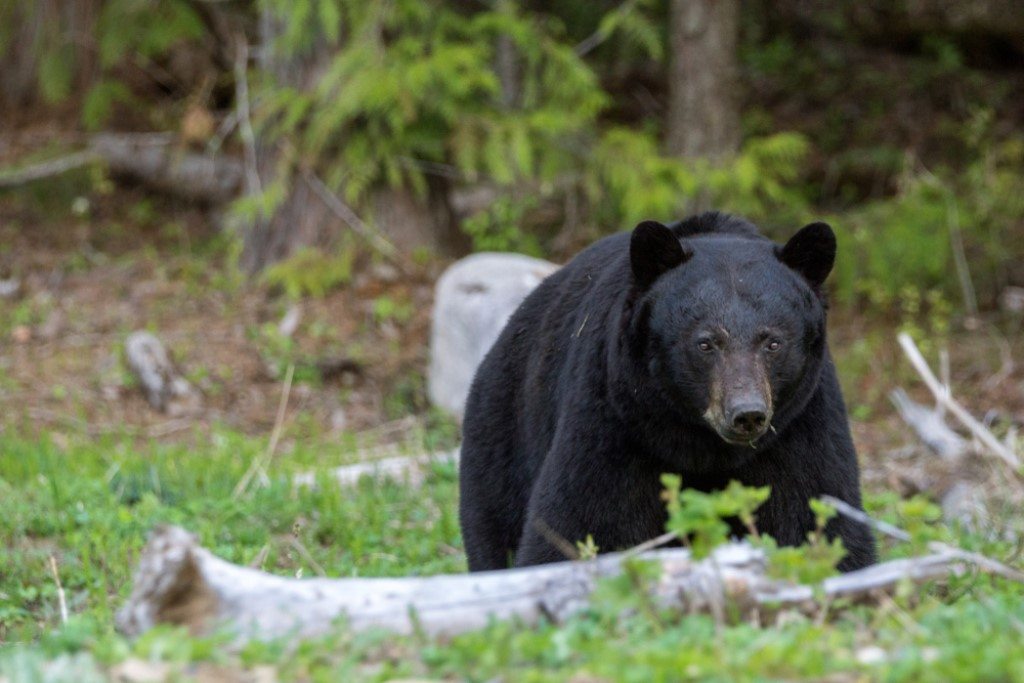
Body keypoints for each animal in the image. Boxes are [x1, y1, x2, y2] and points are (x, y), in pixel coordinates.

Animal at [460, 211, 876, 573]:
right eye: (705, 343)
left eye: (773, 342)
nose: (746, 413)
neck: (704, 448)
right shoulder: (615, 419)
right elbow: (578, 520)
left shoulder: (799, 426)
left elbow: (817, 514)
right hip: (504, 436)